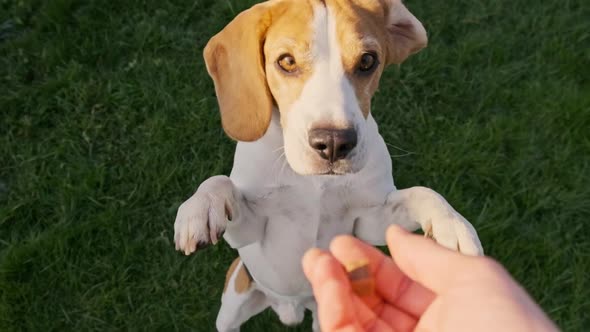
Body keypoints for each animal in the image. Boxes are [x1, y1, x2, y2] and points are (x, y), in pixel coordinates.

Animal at [173, 0, 484, 330]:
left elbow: (422, 193)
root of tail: (290, 307)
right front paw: (200, 208)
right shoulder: (249, 231)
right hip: (233, 302)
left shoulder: (369, 223)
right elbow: (220, 182)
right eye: (286, 61)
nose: (334, 142)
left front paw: (452, 225)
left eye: (367, 61)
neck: (315, 182)